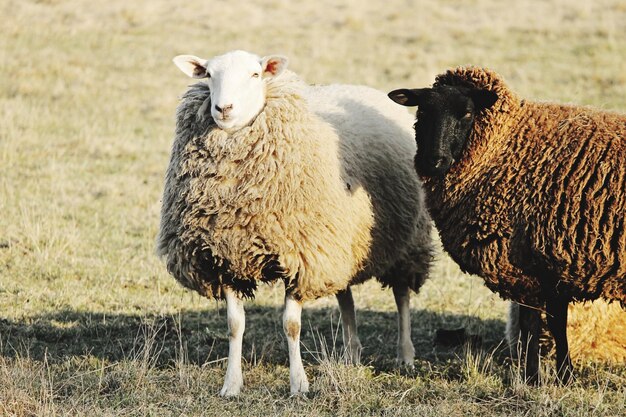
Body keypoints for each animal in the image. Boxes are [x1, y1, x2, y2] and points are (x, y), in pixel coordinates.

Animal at [155, 50, 434, 394]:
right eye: (208, 75)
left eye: (255, 74)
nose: (224, 109)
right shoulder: (225, 257)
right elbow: (234, 325)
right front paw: (231, 385)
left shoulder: (301, 257)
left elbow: (291, 325)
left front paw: (299, 384)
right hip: (338, 244)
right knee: (345, 296)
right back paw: (350, 354)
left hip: (407, 240)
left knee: (402, 295)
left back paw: (405, 354)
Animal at [388, 66, 620, 384]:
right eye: (421, 111)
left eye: (467, 113)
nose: (433, 161)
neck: (506, 146)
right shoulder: (551, 267)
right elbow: (555, 323)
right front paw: (563, 375)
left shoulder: (529, 266)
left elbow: (533, 324)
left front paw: (534, 377)